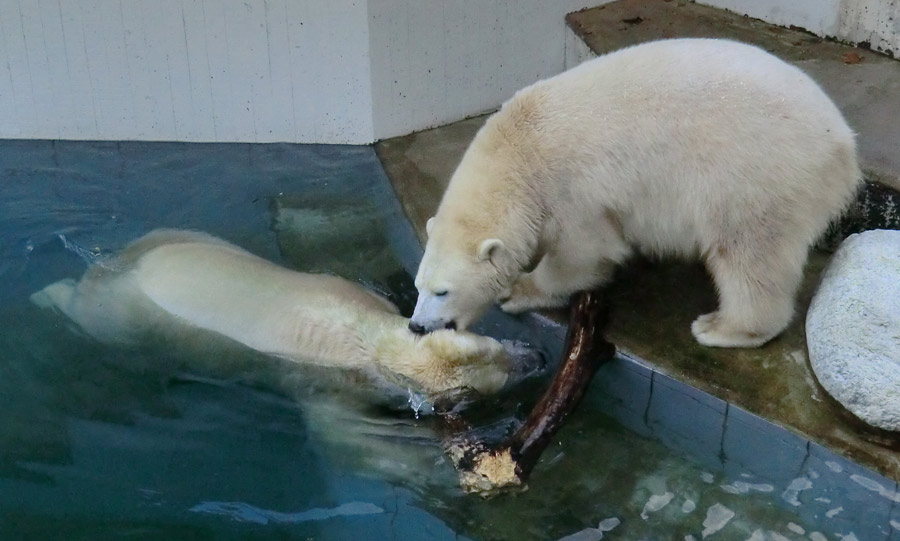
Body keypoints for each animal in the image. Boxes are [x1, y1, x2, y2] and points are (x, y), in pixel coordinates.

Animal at [31, 228, 536, 396]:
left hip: (177, 238)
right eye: (497, 375)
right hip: (122, 314)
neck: (364, 332)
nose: (538, 358)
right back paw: (47, 294)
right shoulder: (325, 381)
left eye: (492, 344)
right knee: (90, 313)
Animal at [412, 40, 860, 348]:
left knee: (748, 250)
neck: (520, 153)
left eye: (443, 291)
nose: (416, 324)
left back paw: (721, 327)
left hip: (756, 173)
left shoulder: (573, 190)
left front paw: (518, 290)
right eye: (418, 285)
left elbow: (583, 253)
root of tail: (843, 142)